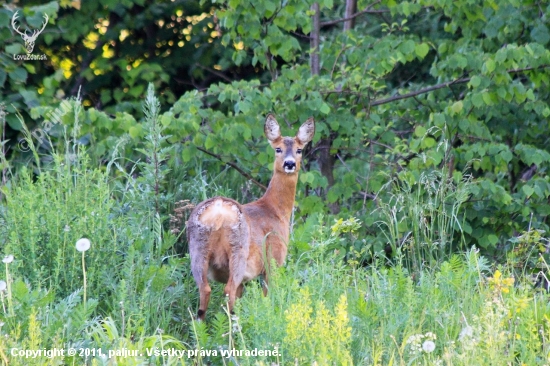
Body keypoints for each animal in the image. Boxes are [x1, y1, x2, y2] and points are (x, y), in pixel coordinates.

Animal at [189, 114, 314, 320]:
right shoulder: (274, 261)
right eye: (278, 148)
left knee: (204, 292)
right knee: (228, 292)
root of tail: (218, 213)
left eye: (299, 150)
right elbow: (267, 298)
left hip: (197, 250)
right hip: (238, 251)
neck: (275, 210)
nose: (289, 164)